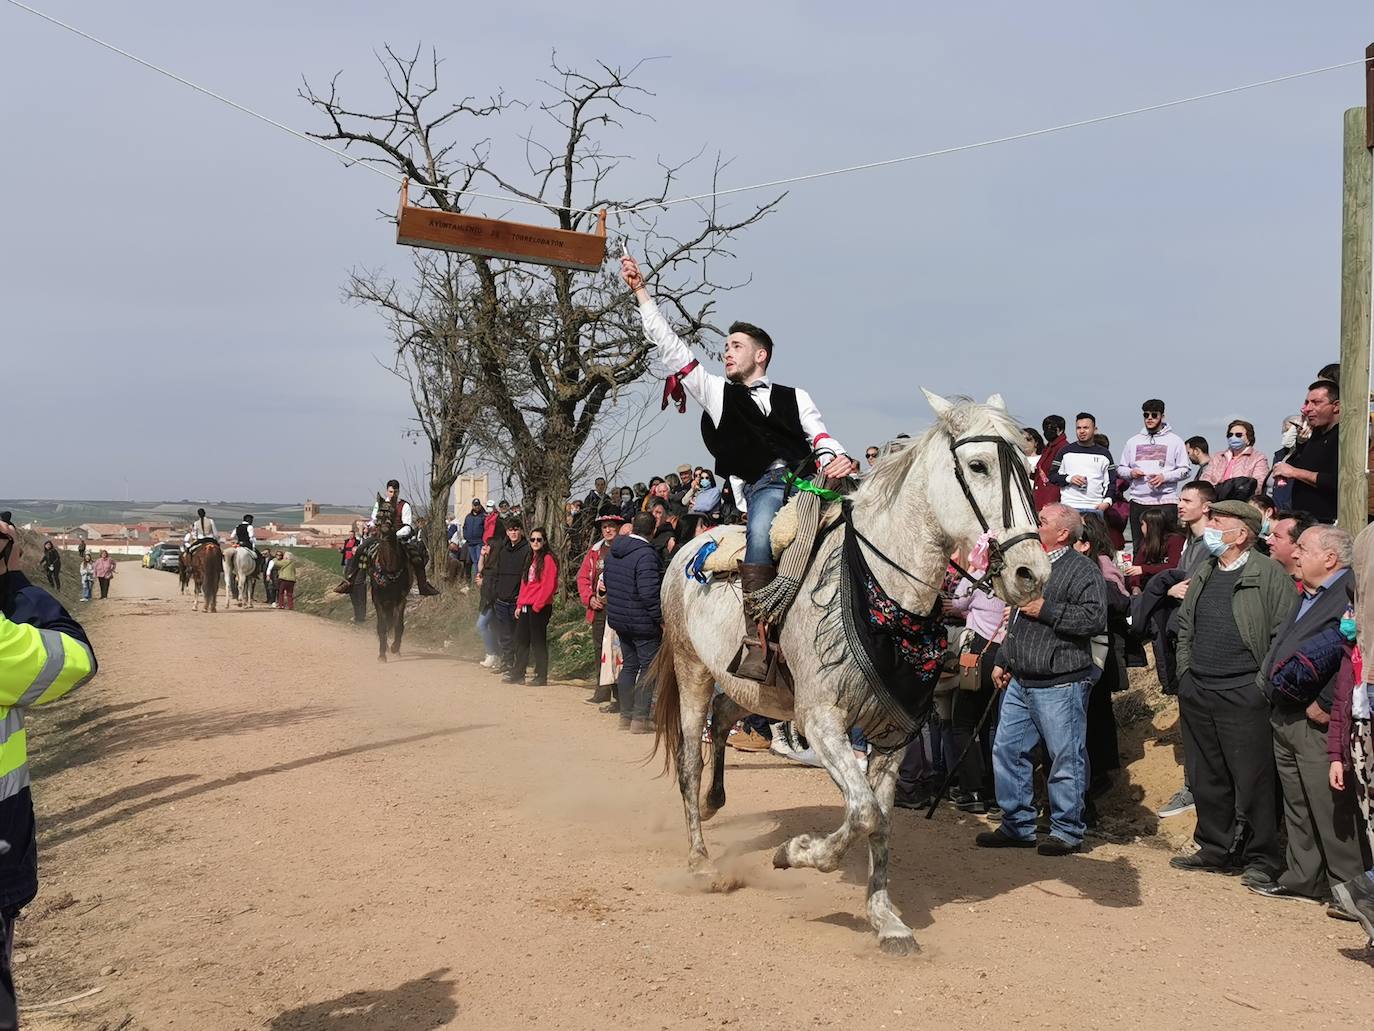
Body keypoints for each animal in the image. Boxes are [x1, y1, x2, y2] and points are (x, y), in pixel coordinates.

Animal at [648, 390, 1044, 956]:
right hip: (692, 670)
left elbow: (879, 822)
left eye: (1031, 473)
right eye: (978, 465)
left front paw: (885, 919)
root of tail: (691, 545)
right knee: (688, 762)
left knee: (723, 721)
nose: (1033, 574)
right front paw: (794, 852)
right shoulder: (822, 722)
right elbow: (862, 813)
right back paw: (701, 859)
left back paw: (716, 800)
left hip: (750, 686)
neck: (882, 594)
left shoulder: (893, 735)